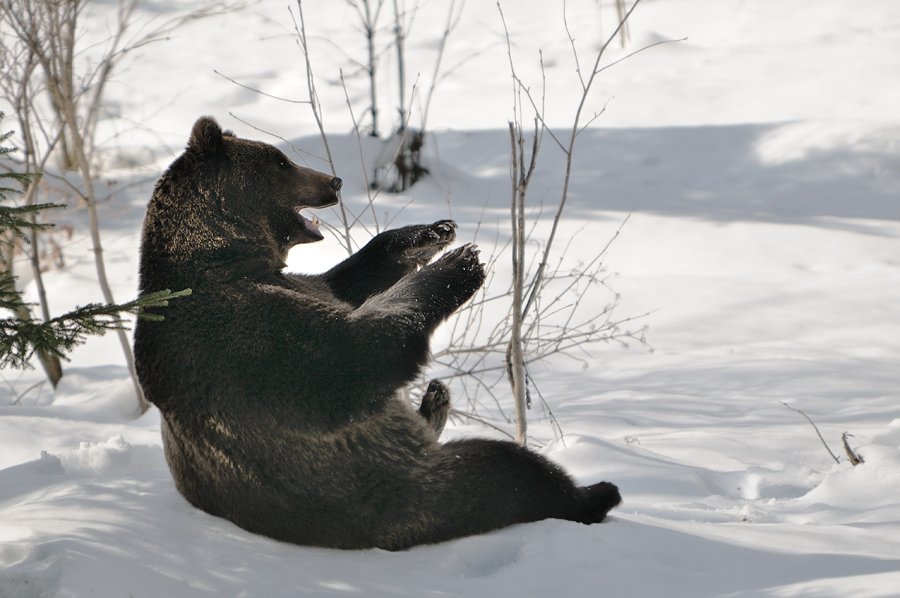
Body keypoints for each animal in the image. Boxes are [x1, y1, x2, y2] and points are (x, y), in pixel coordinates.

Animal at [134, 117, 624, 552]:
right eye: (281, 161)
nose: (333, 180)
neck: (226, 256)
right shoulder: (245, 338)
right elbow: (350, 357)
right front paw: (461, 264)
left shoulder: (300, 285)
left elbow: (350, 281)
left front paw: (431, 234)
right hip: (402, 490)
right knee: (509, 473)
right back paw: (595, 493)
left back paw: (435, 400)